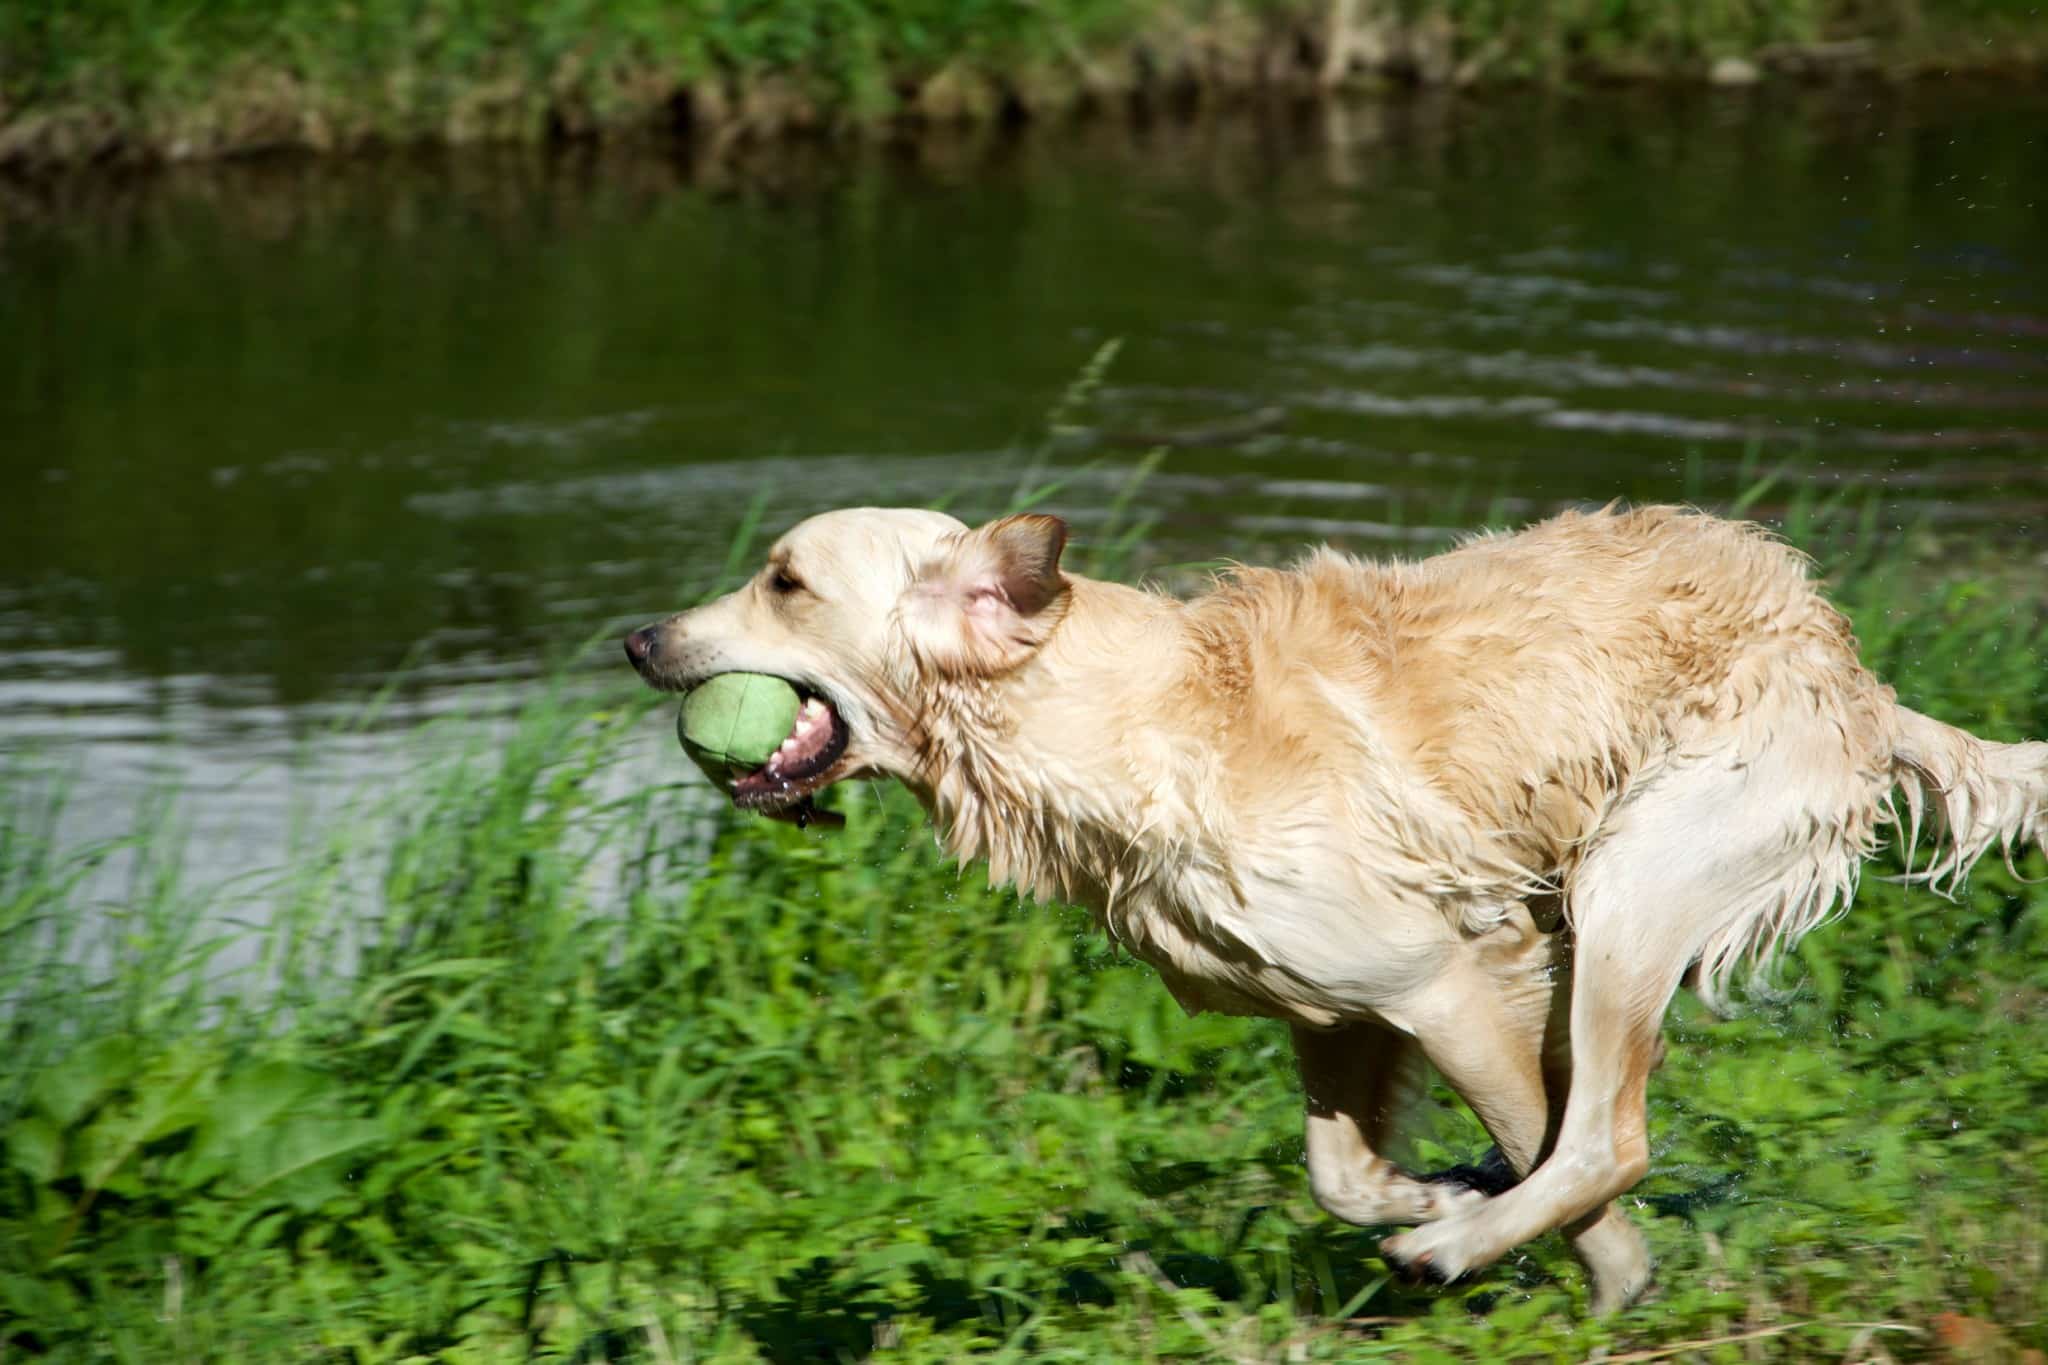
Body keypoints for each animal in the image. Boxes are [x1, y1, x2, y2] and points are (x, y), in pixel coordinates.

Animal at [626, 507, 2048, 1317]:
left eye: (782, 581)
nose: (637, 639)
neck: (1109, 722)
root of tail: (1850, 669)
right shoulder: (1329, 1009)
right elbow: (1339, 1172)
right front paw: (1434, 1192)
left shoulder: (1449, 975)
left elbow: (1548, 1150)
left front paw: (1585, 1271)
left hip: (1630, 883)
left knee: (1605, 1138)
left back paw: (1466, 1254)